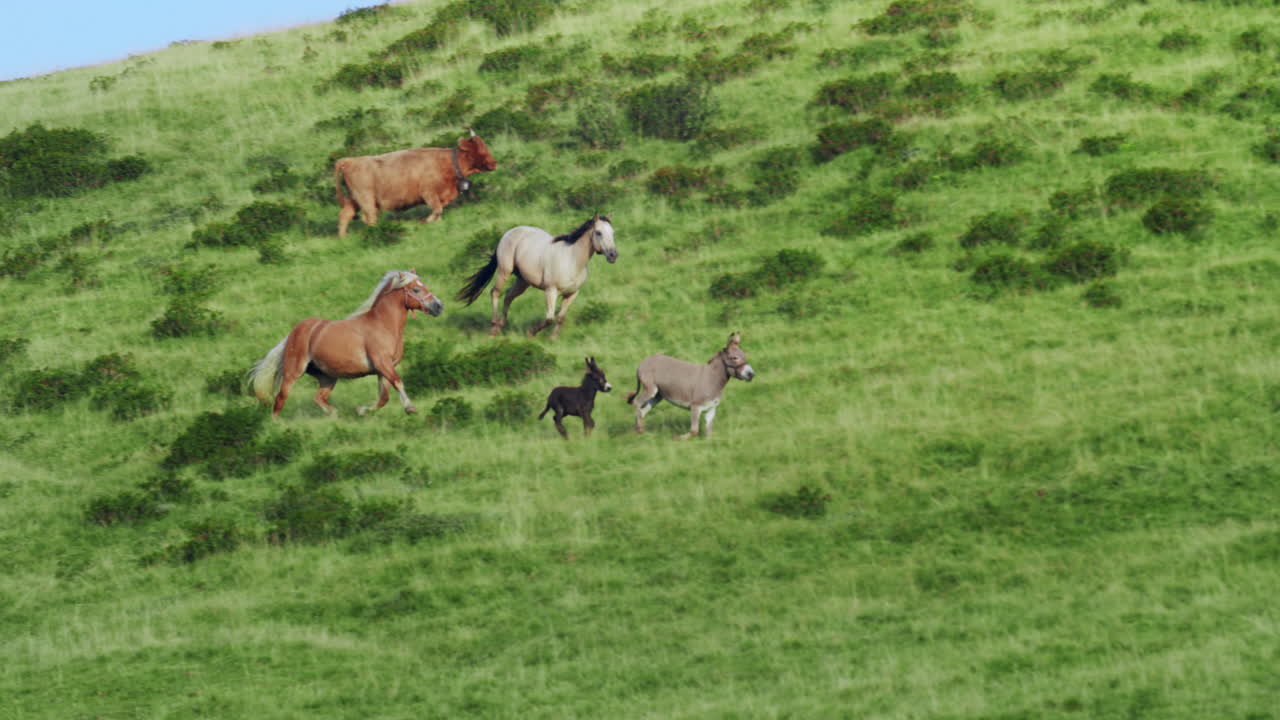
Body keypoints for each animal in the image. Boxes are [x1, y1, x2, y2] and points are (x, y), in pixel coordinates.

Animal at [249, 270, 443, 418]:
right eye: (416, 289)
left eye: (424, 286)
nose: (438, 306)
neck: (383, 325)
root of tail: (294, 332)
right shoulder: (383, 363)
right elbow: (398, 383)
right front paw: (410, 408)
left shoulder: (384, 369)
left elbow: (383, 398)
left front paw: (361, 410)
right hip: (293, 372)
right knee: (280, 399)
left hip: (327, 377)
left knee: (318, 398)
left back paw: (335, 414)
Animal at [455, 214, 617, 340]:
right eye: (598, 232)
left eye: (613, 233)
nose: (613, 255)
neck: (572, 260)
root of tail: (510, 232)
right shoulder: (551, 291)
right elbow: (549, 318)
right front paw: (530, 333)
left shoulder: (572, 294)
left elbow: (560, 318)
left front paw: (553, 339)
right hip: (504, 271)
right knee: (495, 292)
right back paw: (494, 329)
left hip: (523, 281)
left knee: (508, 296)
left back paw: (502, 325)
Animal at [625, 331, 756, 440]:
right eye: (734, 358)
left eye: (745, 356)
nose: (751, 374)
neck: (712, 378)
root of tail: (643, 362)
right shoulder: (695, 407)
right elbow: (694, 431)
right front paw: (678, 438)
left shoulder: (711, 409)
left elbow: (709, 433)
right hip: (650, 388)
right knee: (637, 402)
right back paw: (640, 429)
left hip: (658, 395)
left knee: (643, 409)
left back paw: (638, 430)